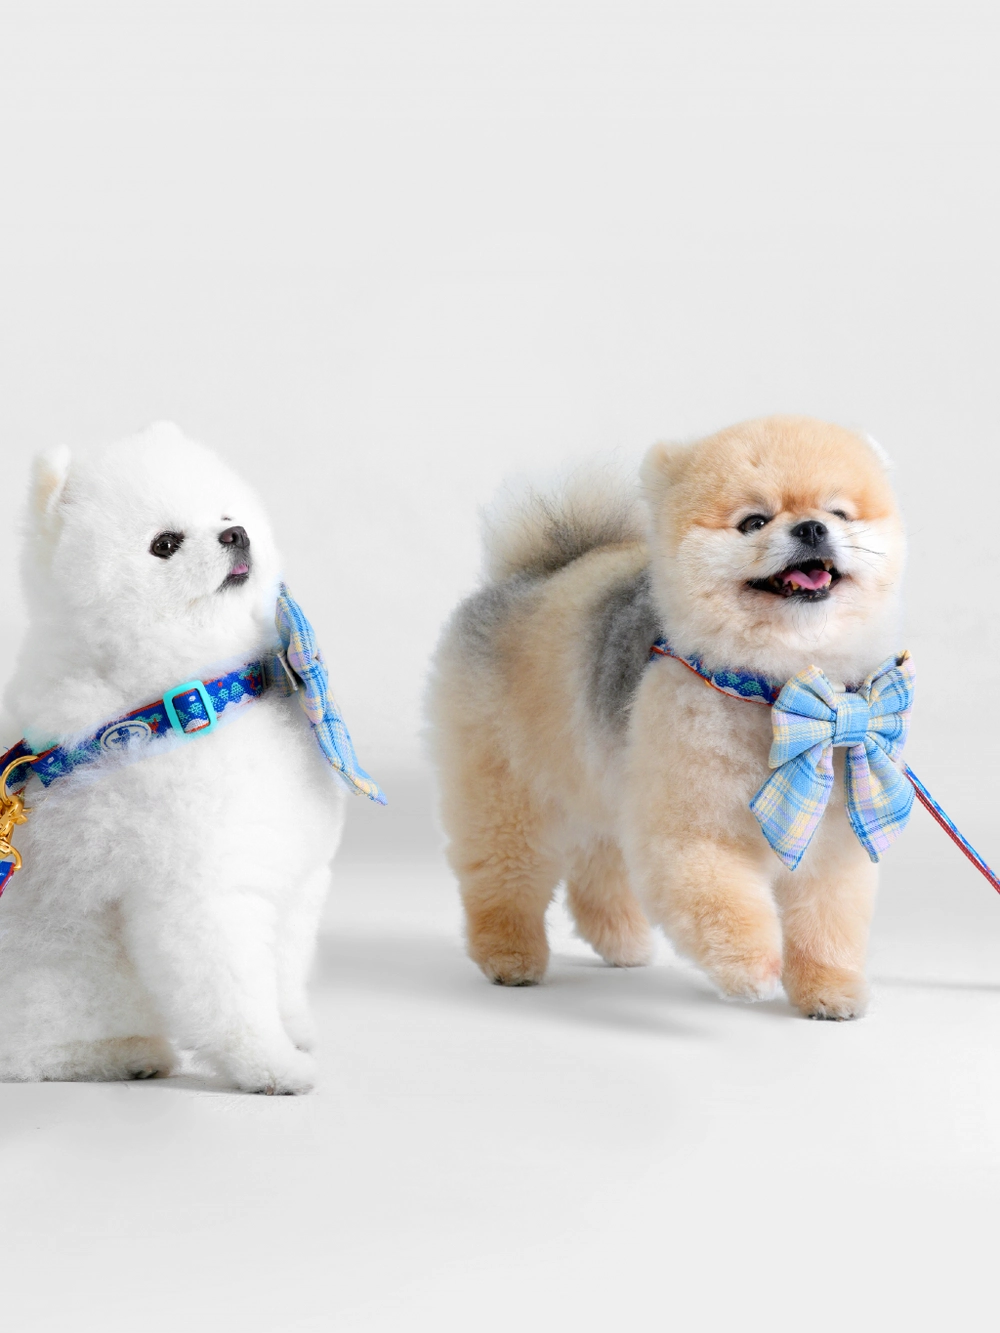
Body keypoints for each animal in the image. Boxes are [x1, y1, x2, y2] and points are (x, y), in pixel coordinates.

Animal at [0, 423, 348, 1090]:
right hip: (61, 980)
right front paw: (272, 1066)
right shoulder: (200, 894)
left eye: (228, 516)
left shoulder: (294, 880)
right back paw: (123, 1054)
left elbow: (285, 974)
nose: (235, 536)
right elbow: (234, 998)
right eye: (165, 544)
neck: (194, 695)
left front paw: (294, 1031)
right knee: (27, 1053)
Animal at [427, 416, 906, 1018]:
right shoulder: (693, 830)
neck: (780, 694)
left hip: (605, 776)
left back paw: (622, 942)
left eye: (840, 513)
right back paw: (509, 956)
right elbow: (725, 904)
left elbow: (826, 924)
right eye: (754, 522)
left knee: (597, 867)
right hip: (507, 790)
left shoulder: (831, 840)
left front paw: (830, 991)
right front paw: (751, 968)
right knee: (502, 872)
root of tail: (534, 572)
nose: (813, 528)